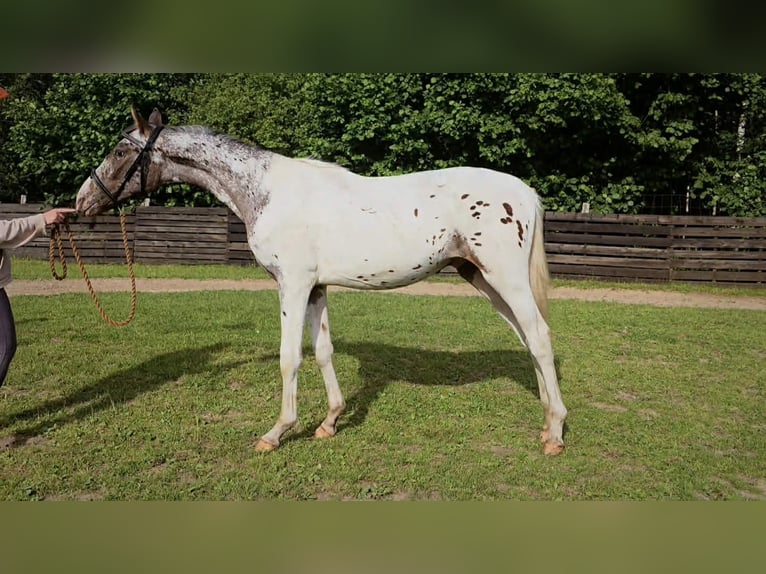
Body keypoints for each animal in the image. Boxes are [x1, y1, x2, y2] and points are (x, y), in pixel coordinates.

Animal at [75, 105, 568, 455]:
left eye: (120, 151)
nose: (81, 202)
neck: (268, 191)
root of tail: (525, 193)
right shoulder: (315, 288)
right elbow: (323, 351)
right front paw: (329, 423)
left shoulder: (291, 285)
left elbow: (289, 357)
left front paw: (276, 433)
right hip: (483, 279)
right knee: (528, 339)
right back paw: (547, 423)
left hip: (505, 278)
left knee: (541, 337)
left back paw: (556, 433)